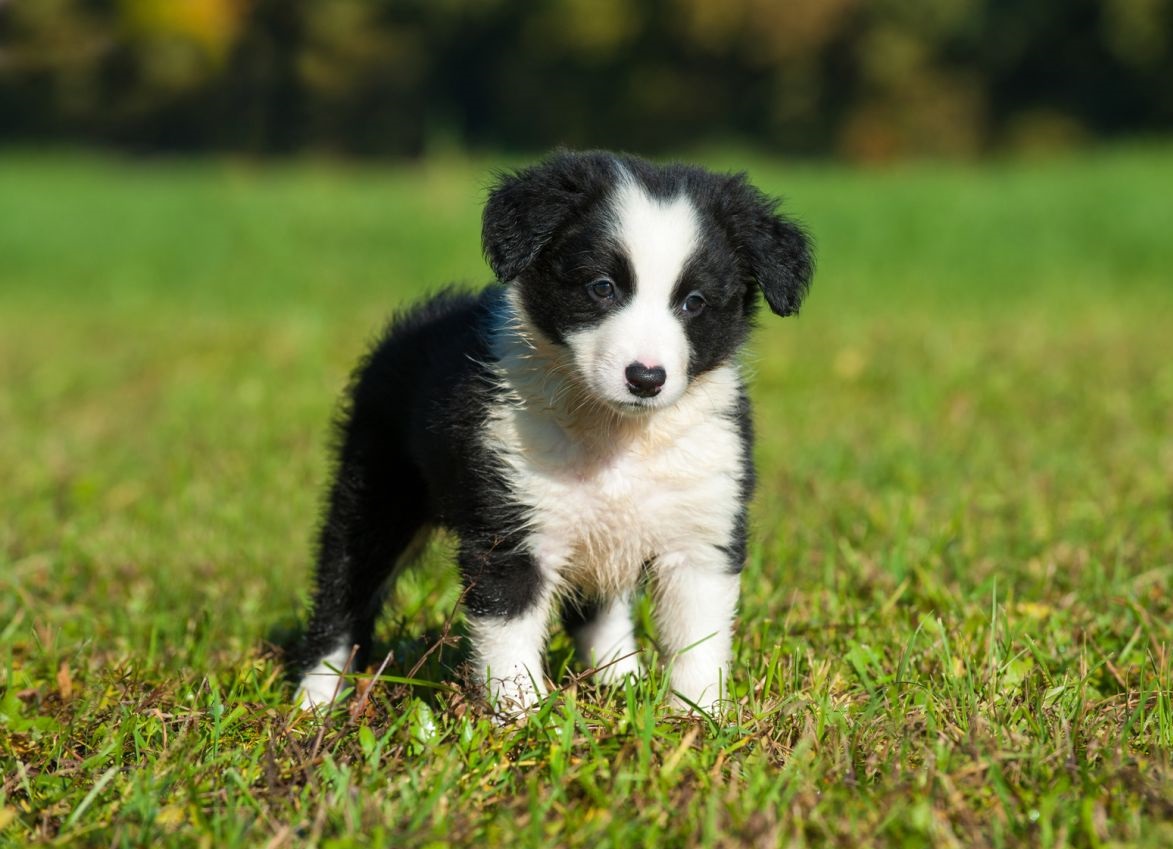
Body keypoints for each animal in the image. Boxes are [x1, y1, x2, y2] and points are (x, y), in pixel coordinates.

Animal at [290, 151, 816, 717]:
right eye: (602, 287)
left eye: (694, 302)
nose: (646, 378)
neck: (617, 433)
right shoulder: (511, 526)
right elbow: (508, 631)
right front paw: (522, 718)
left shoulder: (702, 525)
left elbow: (698, 636)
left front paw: (697, 715)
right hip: (376, 487)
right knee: (345, 586)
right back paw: (314, 700)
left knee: (600, 611)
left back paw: (619, 680)